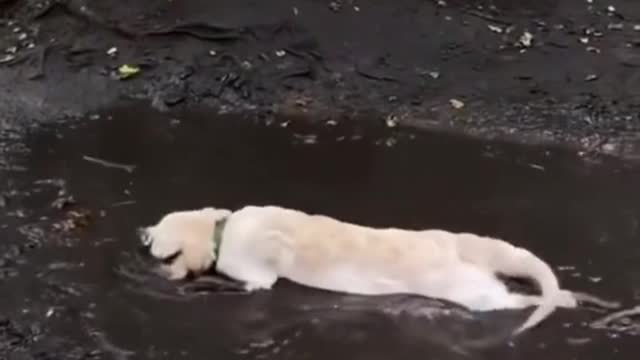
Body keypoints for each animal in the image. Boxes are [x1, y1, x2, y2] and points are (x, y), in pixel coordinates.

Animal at [140, 205, 580, 334]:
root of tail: (461, 245)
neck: (223, 228)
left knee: (517, 300)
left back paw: (562, 300)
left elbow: (247, 283)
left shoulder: (253, 272)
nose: (141, 231)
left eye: (157, 235)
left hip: (474, 292)